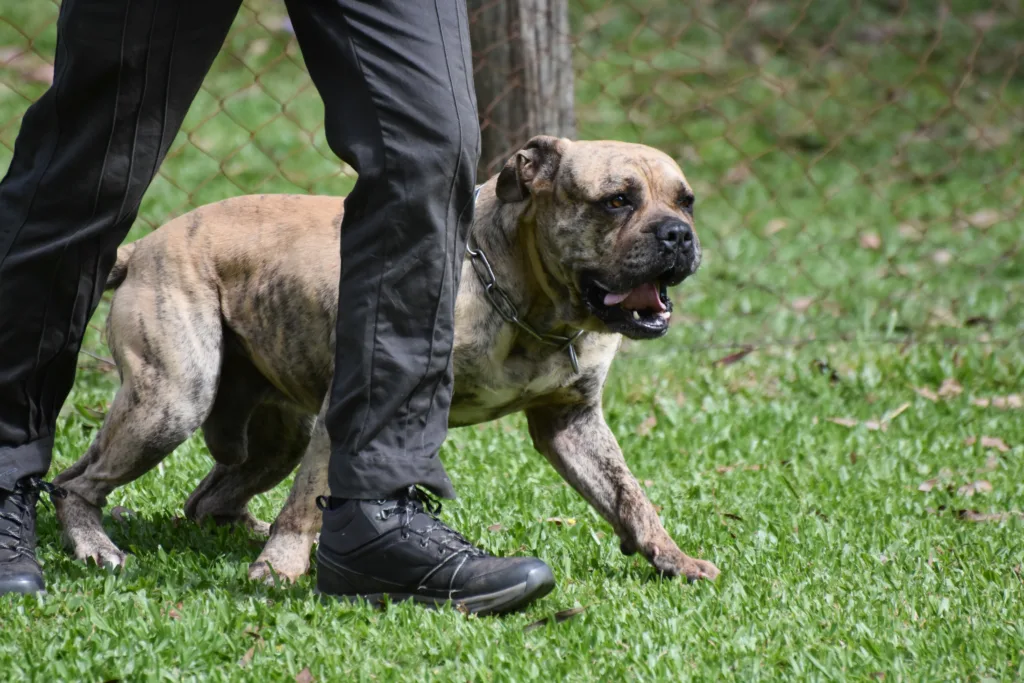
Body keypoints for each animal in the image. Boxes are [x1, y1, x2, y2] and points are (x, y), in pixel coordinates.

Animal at [49, 136, 720, 585]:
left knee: (202, 499)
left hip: (271, 433)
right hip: (172, 400)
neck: (523, 298)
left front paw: (673, 558)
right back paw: (95, 547)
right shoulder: (354, 405)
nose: (677, 235)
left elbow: (630, 496)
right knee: (77, 483)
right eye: (616, 201)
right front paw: (280, 571)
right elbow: (308, 499)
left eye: (686, 201)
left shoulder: (571, 423)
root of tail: (146, 245)